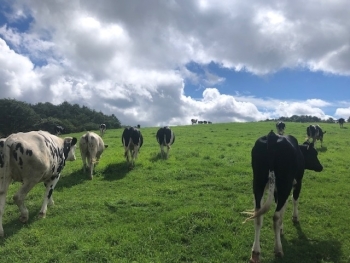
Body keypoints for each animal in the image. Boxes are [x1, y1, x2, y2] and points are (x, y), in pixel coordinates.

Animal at [243, 131, 322, 262]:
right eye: (314, 154)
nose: (321, 167)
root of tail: (272, 136)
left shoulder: (277, 190)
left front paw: (281, 228)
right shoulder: (296, 183)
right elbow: (293, 201)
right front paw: (294, 218)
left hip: (258, 184)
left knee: (258, 215)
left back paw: (255, 252)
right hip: (284, 185)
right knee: (275, 217)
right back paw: (278, 249)